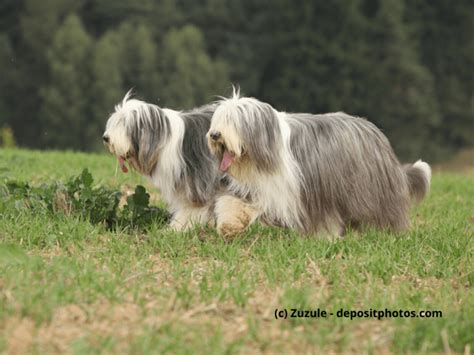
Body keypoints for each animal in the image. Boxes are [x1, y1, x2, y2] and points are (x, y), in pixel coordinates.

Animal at [102, 92, 228, 231]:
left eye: (124, 123)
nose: (105, 138)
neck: (163, 141)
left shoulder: (197, 183)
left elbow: (193, 208)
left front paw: (179, 227)